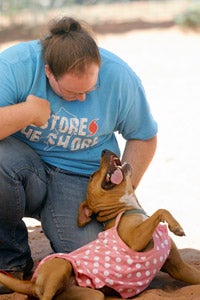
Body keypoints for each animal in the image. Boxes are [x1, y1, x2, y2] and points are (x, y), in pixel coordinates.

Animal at [0, 150, 200, 300]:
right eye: (91, 176)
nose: (104, 151)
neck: (125, 209)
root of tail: (32, 284)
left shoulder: (180, 269)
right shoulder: (135, 241)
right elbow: (161, 210)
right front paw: (176, 226)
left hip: (90, 295)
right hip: (62, 266)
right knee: (44, 297)